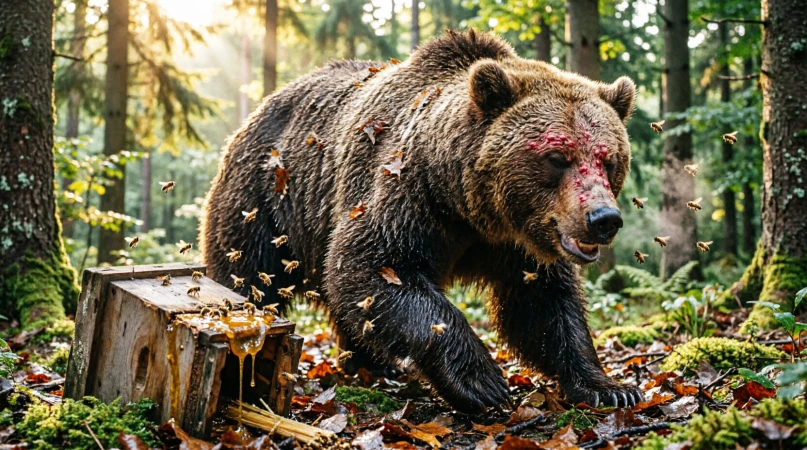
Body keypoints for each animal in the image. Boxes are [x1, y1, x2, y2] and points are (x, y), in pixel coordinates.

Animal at [200, 29, 641, 413]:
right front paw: (482, 381)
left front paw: (610, 387)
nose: (603, 218)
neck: (470, 208)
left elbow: (544, 305)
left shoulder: (517, 243)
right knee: (250, 271)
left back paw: (372, 363)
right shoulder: (405, 194)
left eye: (608, 158)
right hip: (266, 198)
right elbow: (374, 267)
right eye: (557, 156)